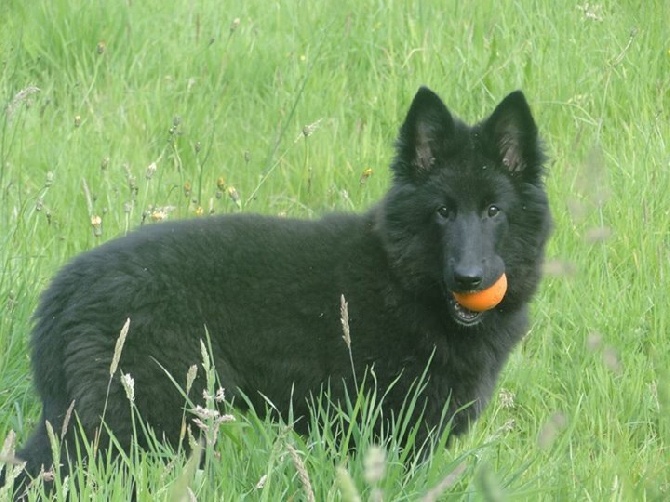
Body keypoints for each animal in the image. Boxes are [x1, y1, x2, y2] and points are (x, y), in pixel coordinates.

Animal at [2, 85, 552, 494]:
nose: (470, 279)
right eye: (442, 211)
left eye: (494, 210)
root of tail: (65, 291)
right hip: (138, 424)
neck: (402, 279)